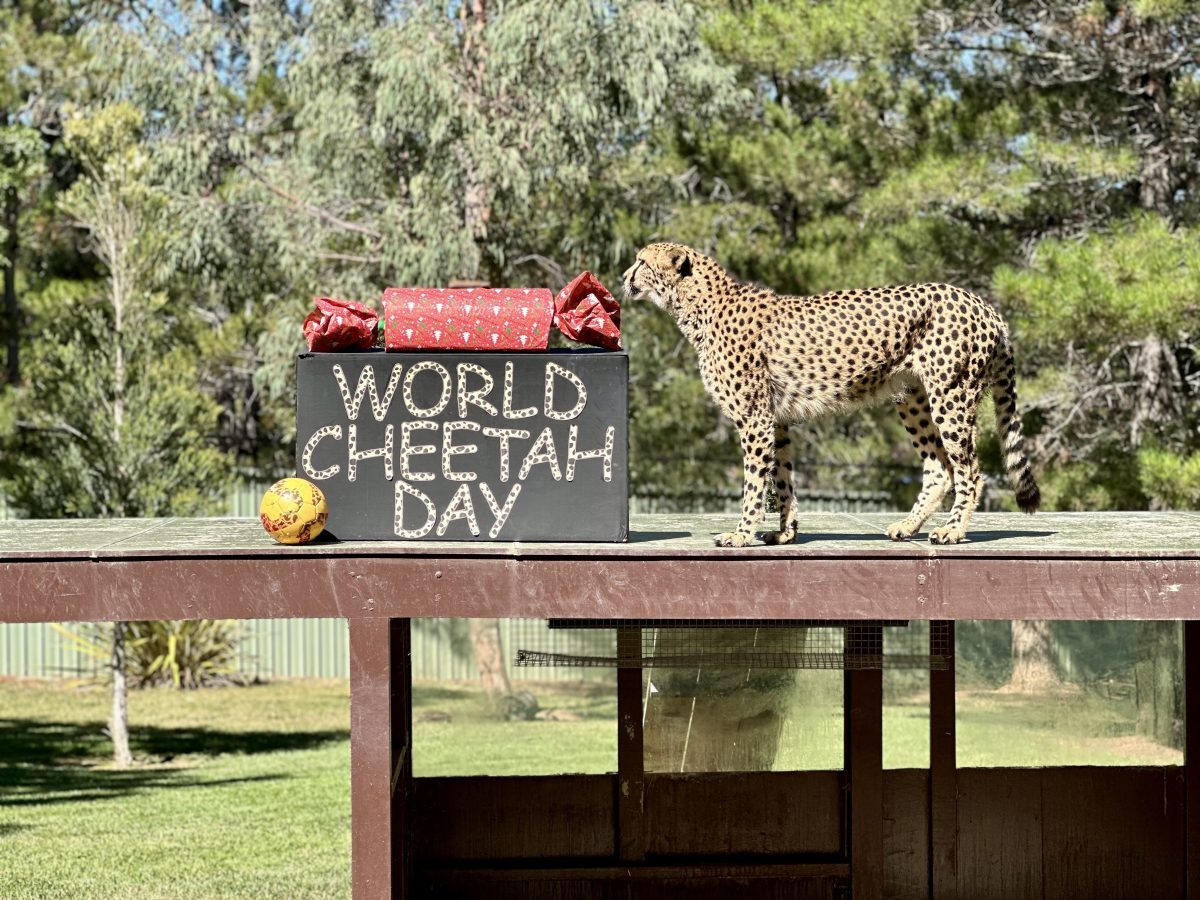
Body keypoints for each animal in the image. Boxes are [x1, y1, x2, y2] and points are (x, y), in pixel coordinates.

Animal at [622, 242, 1040, 547]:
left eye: (641, 261)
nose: (623, 276)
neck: (699, 304)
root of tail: (980, 302)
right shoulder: (776, 421)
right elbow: (782, 479)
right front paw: (785, 533)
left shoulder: (755, 419)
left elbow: (754, 483)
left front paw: (741, 534)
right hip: (913, 398)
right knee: (940, 468)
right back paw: (908, 527)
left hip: (951, 396)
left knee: (969, 468)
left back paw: (953, 530)